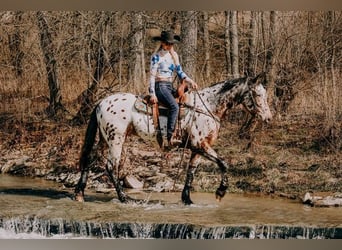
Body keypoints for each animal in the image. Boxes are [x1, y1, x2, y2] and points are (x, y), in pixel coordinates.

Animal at [75, 73, 272, 205]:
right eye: (257, 94)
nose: (268, 118)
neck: (207, 107)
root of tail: (101, 102)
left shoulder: (197, 149)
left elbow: (191, 172)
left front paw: (187, 199)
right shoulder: (200, 145)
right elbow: (224, 164)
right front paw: (220, 192)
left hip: (104, 139)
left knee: (90, 160)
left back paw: (79, 193)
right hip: (116, 139)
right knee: (110, 166)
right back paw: (124, 198)